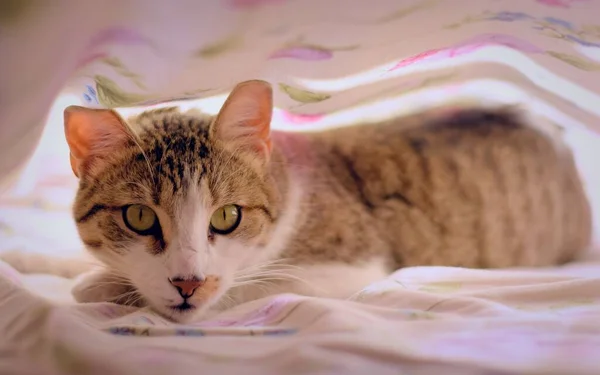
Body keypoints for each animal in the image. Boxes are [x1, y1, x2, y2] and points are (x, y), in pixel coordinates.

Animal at [0, 80, 592, 324]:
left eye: (227, 216)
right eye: (140, 217)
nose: (189, 282)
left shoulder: (350, 266)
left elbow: (254, 286)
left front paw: (97, 285)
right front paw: (32, 259)